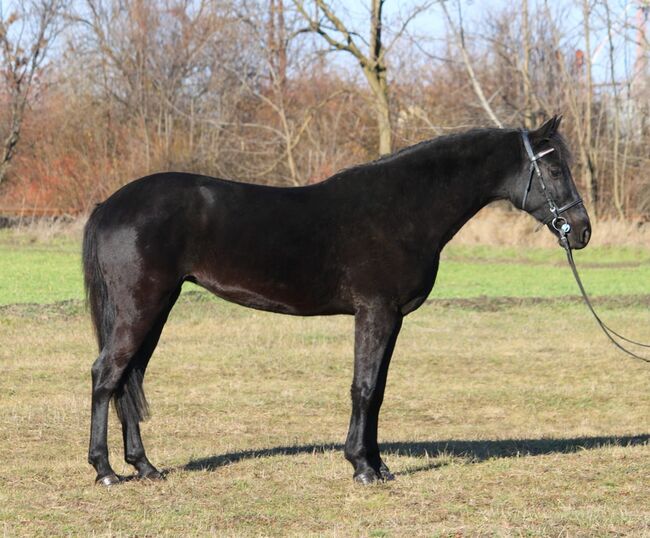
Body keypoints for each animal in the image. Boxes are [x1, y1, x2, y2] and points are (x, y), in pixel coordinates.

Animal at [81, 115, 588, 484]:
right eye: (554, 168)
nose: (580, 231)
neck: (403, 206)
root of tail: (110, 205)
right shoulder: (376, 312)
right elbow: (363, 388)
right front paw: (361, 467)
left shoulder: (391, 317)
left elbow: (378, 390)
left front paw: (379, 465)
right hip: (141, 306)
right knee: (107, 374)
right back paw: (105, 471)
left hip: (157, 307)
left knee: (128, 376)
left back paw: (145, 466)